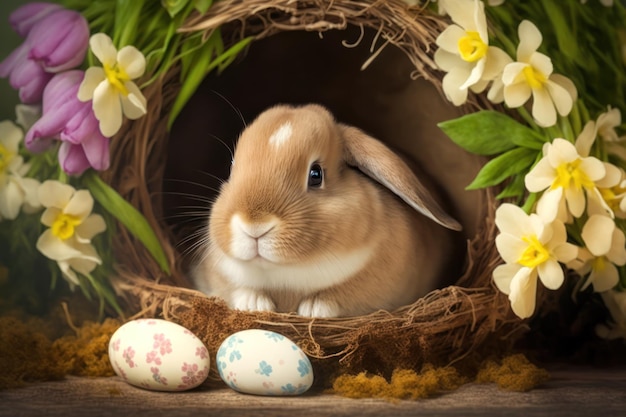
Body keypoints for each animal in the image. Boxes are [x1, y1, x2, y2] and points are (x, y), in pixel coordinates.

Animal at [191, 103, 464, 316]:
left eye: (316, 175)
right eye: (231, 166)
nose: (254, 226)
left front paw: (315, 308)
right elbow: (238, 289)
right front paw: (255, 304)